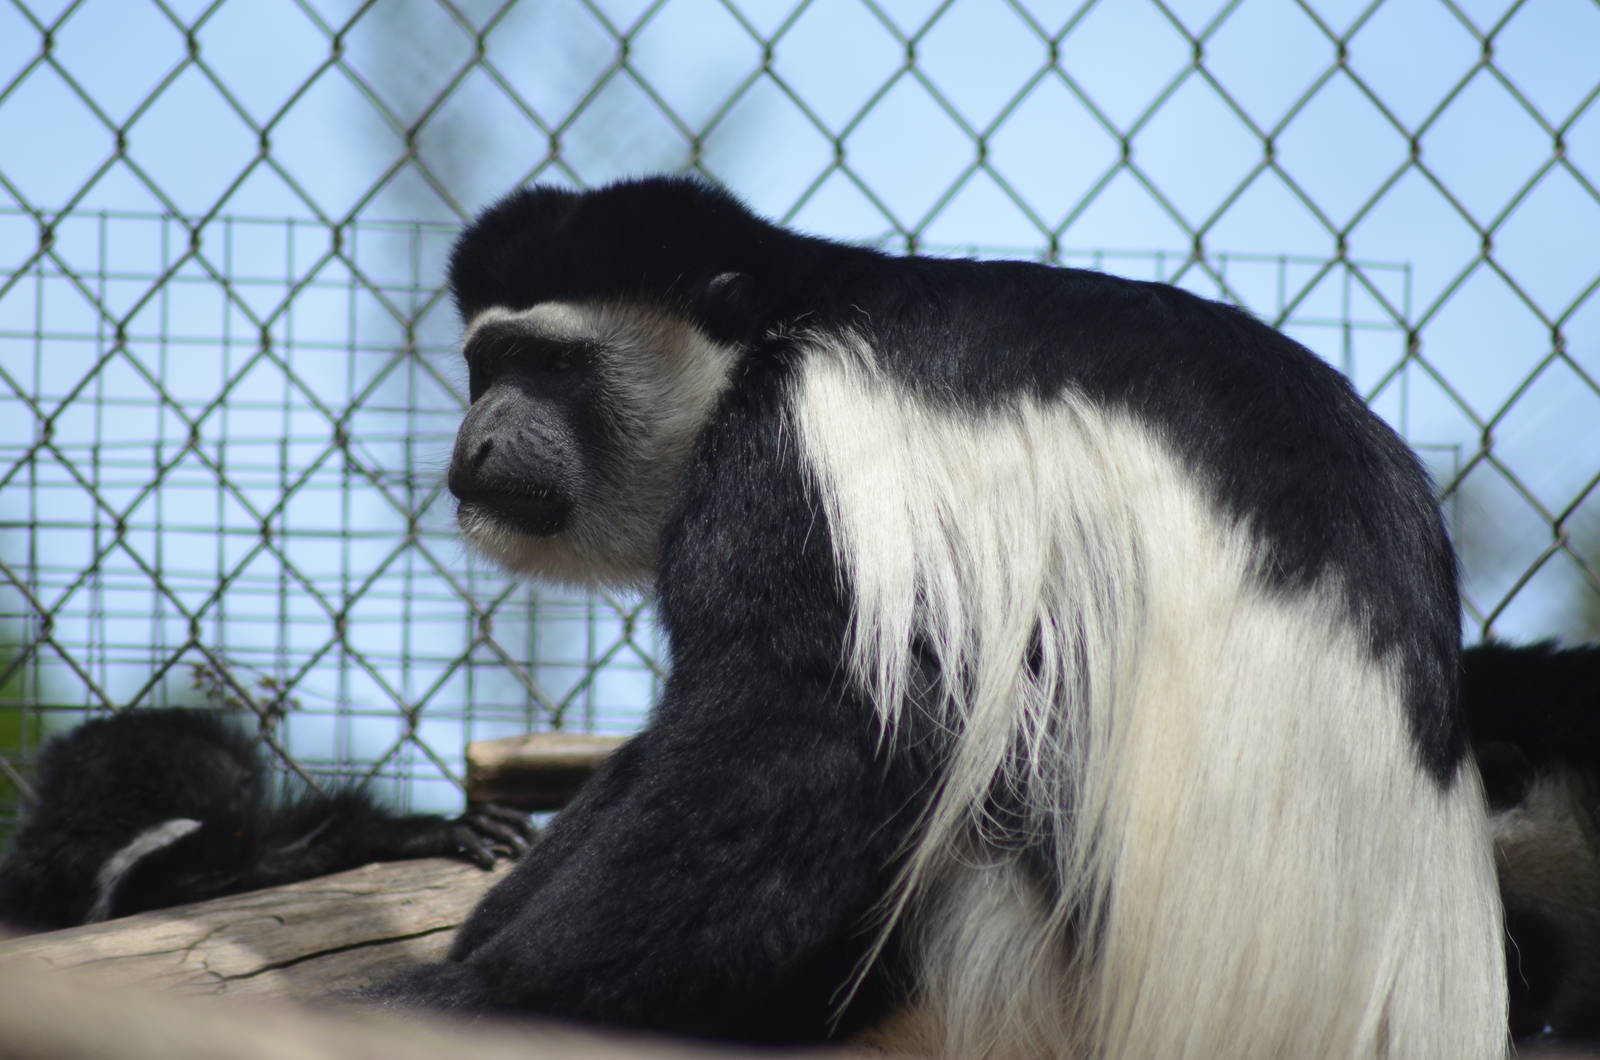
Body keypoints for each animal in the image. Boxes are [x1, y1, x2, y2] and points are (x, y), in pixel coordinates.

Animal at [366, 175, 1506, 1059]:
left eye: (554, 367)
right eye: (486, 366)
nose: (477, 443)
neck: (781, 329)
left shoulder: (802, 452)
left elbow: (805, 733)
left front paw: (472, 996)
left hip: (1013, 960)